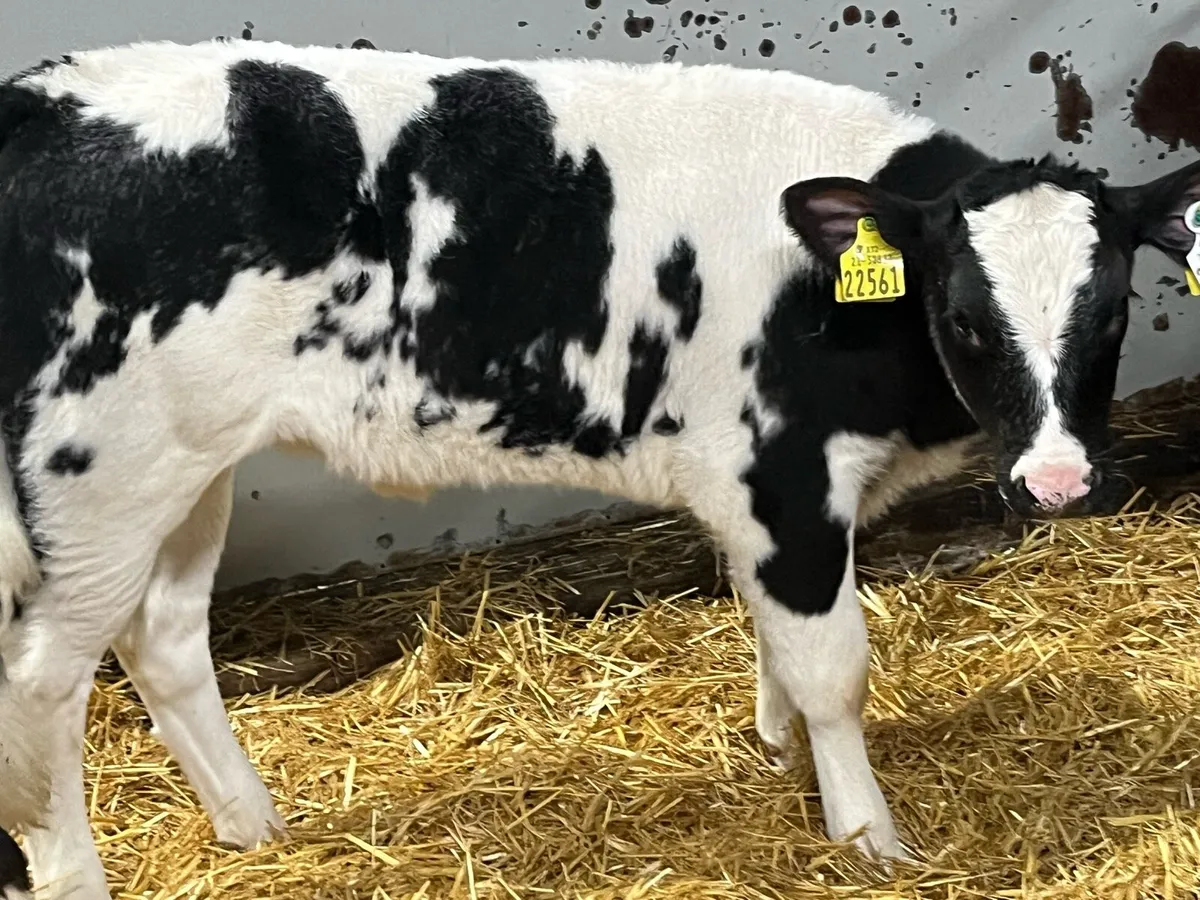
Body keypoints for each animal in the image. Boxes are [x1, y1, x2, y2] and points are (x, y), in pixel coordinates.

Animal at [0, 39, 1196, 898]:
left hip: (188, 463)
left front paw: (777, 750)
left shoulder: (755, 496)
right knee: (44, 688)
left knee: (161, 638)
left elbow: (770, 633)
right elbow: (833, 667)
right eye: (963, 318)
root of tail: (40, 99)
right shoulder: (784, 479)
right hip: (94, 480)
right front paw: (868, 836)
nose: (1058, 483)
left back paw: (256, 828)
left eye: (1117, 309)